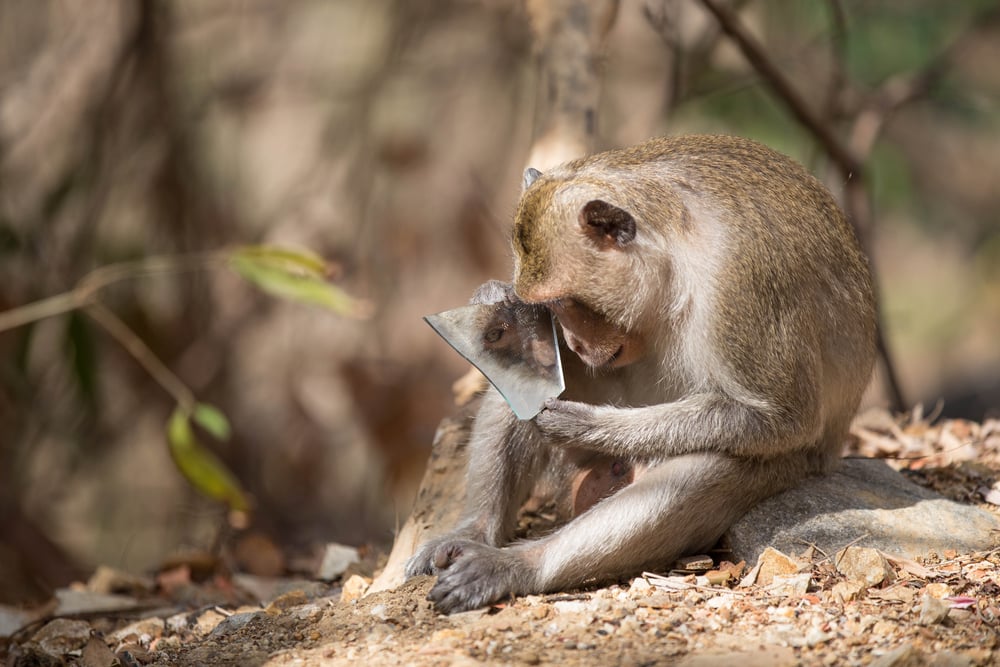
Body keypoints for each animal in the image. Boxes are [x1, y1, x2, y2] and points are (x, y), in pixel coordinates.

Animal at [405, 134, 877, 613]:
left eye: (568, 302)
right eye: (549, 307)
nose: (573, 341)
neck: (674, 251)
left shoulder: (742, 280)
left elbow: (782, 418)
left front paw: (590, 425)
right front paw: (495, 301)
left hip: (792, 466)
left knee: (714, 462)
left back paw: (516, 565)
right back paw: (476, 531)